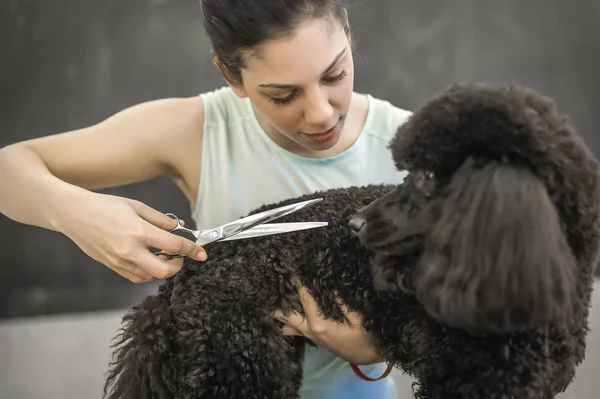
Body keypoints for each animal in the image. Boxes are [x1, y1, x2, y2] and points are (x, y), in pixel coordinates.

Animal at [103, 83, 600, 398]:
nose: (356, 225)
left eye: (424, 177)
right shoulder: (462, 378)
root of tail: (192, 265)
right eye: (406, 170)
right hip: (239, 361)